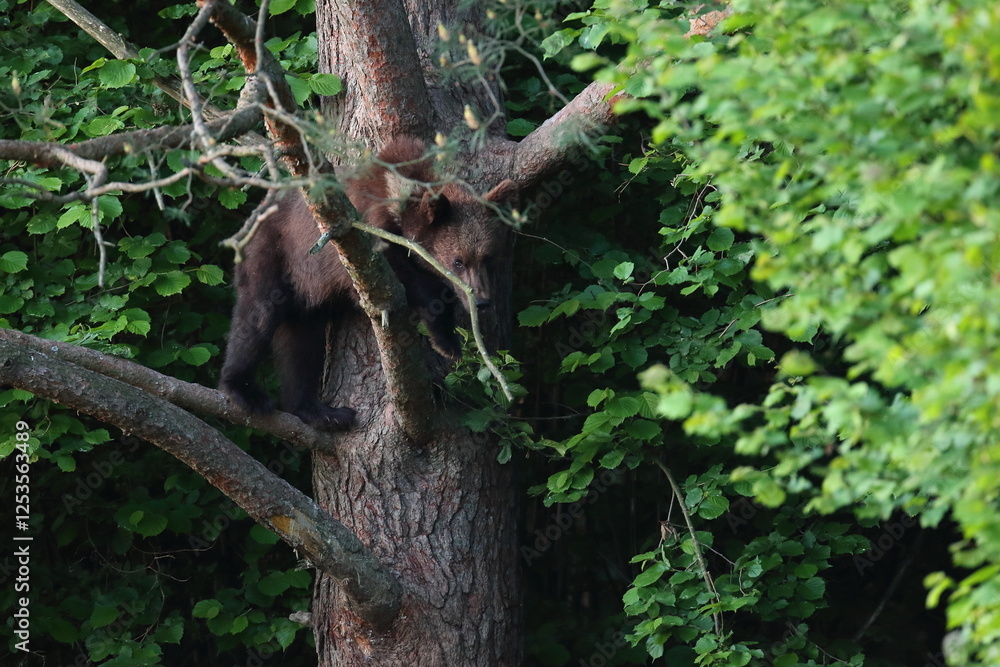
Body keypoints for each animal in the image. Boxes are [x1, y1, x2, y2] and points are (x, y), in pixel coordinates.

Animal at [219, 137, 515, 430]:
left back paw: (322, 412)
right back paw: (244, 390)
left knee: (302, 343)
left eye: (488, 257)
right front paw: (446, 339)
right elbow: (402, 277)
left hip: (306, 289)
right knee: (258, 314)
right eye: (458, 261)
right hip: (274, 251)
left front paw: (447, 342)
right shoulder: (359, 238)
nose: (482, 301)